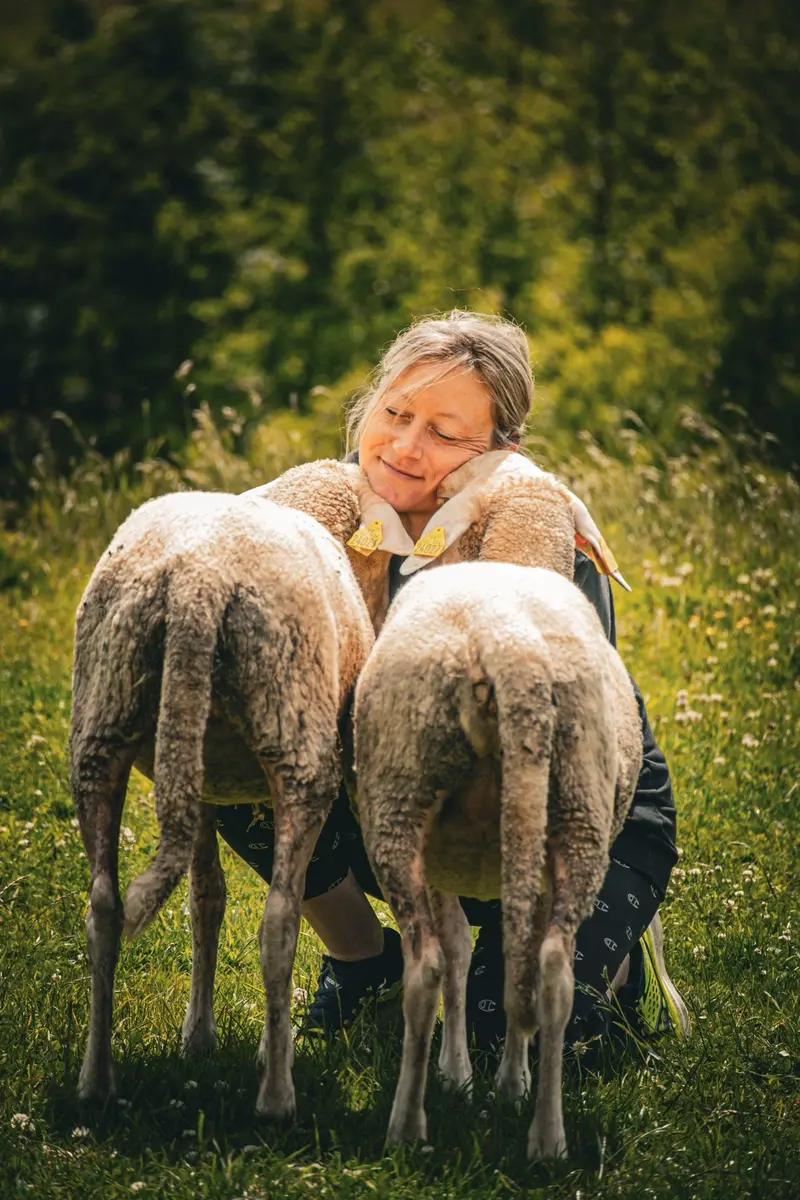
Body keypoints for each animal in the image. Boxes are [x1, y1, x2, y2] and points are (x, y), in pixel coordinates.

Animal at [70, 459, 410, 1117]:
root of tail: (195, 586)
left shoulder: (198, 781)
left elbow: (206, 899)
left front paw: (197, 1036)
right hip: (294, 739)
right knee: (280, 921)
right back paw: (277, 1092)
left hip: (103, 718)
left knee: (103, 909)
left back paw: (96, 1082)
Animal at [352, 454, 642, 1160]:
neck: (520, 550)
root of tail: (511, 650)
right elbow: (502, 961)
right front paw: (498, 1079)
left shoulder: (441, 858)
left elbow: (457, 952)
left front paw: (456, 1073)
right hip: (576, 815)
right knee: (552, 971)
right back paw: (545, 1134)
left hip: (400, 800)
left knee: (425, 970)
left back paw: (406, 1127)